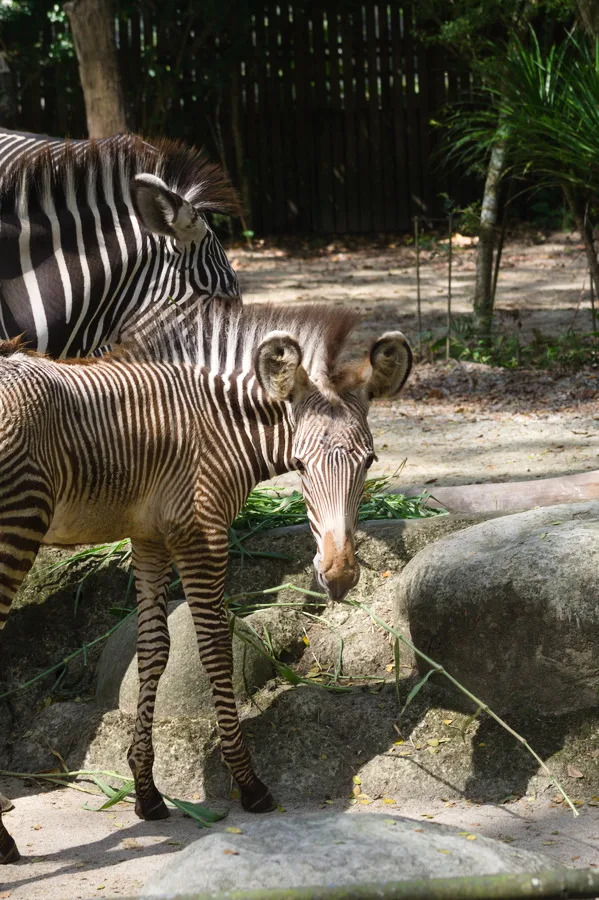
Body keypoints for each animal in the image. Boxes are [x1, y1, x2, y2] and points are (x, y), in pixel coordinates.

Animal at [0, 300, 412, 863]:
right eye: (300, 465)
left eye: (369, 461)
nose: (339, 574)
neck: (215, 427)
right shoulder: (202, 533)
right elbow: (215, 644)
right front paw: (249, 785)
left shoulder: (150, 536)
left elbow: (153, 650)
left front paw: (147, 794)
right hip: (19, 522)